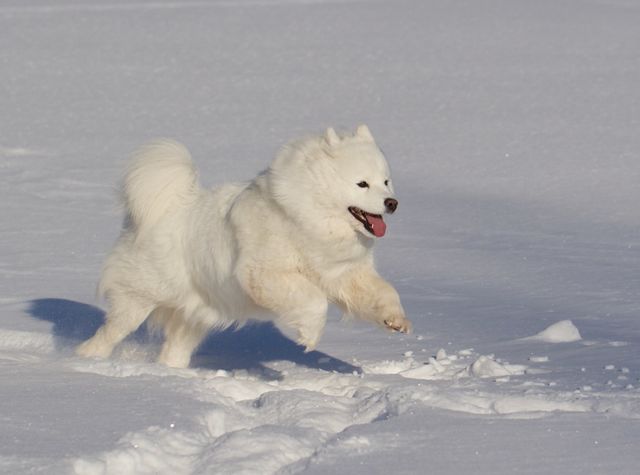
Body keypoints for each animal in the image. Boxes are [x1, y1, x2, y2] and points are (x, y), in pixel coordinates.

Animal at [77, 125, 412, 368]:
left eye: (386, 181)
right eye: (362, 184)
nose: (392, 203)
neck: (309, 214)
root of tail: (165, 208)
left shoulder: (343, 273)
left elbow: (383, 292)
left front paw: (396, 320)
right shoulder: (264, 273)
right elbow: (313, 301)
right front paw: (309, 335)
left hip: (194, 316)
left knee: (174, 349)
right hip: (138, 300)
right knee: (108, 334)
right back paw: (86, 360)